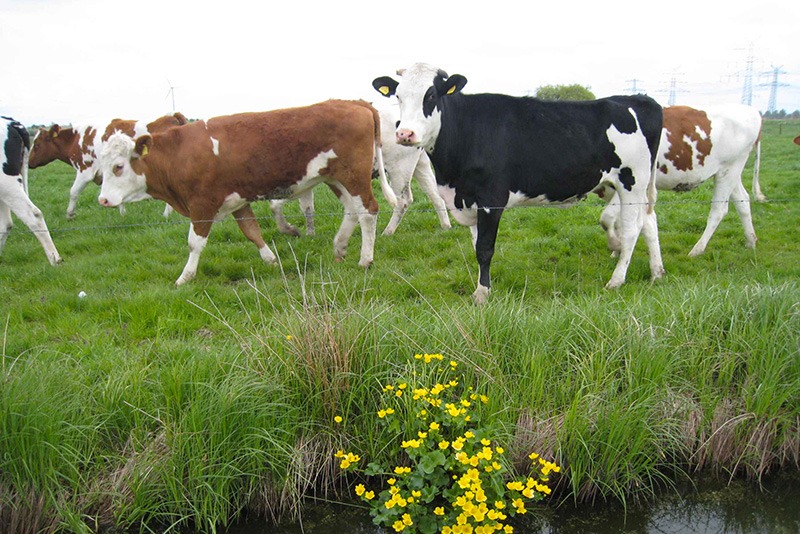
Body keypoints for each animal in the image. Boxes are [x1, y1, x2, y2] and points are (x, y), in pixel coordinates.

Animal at [29, 113, 188, 218]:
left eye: (37, 145)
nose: (29, 163)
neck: (75, 138)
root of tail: (172, 116)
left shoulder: (85, 171)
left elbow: (73, 191)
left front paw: (70, 214)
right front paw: (123, 213)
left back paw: (166, 214)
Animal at [97, 99, 397, 286]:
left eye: (118, 166)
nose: (103, 199)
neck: (179, 154)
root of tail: (355, 102)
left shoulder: (202, 204)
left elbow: (195, 243)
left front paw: (185, 277)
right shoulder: (237, 200)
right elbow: (252, 230)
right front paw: (271, 260)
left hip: (354, 175)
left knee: (368, 211)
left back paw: (365, 259)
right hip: (336, 178)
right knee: (352, 210)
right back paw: (339, 247)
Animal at [372, 63, 665, 304]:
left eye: (431, 95)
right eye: (398, 96)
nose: (404, 133)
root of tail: (638, 98)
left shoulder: (490, 199)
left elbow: (484, 249)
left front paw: (482, 294)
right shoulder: (469, 199)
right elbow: (476, 245)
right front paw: (483, 286)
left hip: (632, 181)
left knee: (632, 230)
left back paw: (616, 280)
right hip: (627, 185)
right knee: (649, 222)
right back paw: (656, 273)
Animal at [598, 104, 763, 257]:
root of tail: (752, 110)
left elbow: (608, 217)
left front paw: (617, 246)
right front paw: (618, 250)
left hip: (730, 169)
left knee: (719, 209)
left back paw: (697, 249)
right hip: (729, 171)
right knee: (742, 200)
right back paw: (751, 241)